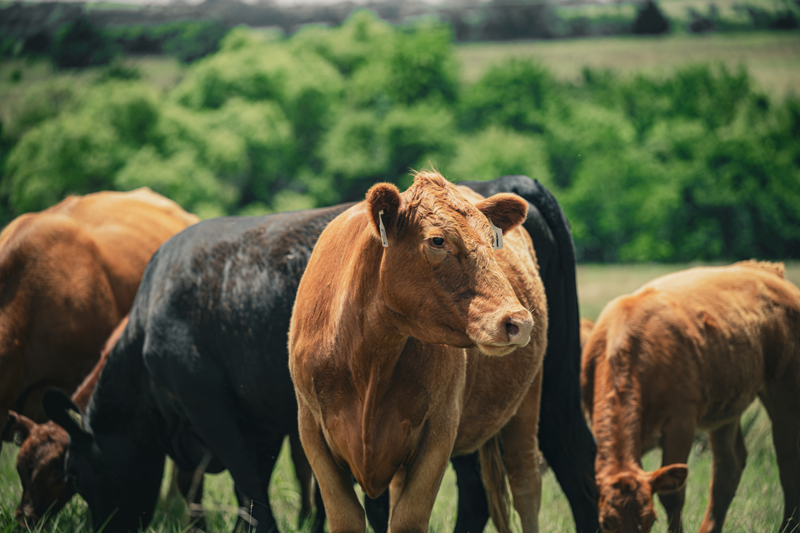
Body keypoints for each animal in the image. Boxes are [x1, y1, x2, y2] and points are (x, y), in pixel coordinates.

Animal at [289, 171, 549, 533]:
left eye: (492, 240)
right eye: (438, 241)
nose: (519, 322)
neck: (367, 357)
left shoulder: (439, 432)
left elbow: (409, 518)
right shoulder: (310, 430)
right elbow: (346, 517)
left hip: (527, 400)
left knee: (525, 480)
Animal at [580, 261, 800, 533]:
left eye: (650, 520)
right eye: (606, 523)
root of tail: (766, 270)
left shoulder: (681, 423)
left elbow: (672, 497)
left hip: (785, 389)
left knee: (788, 459)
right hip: (726, 406)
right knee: (728, 466)